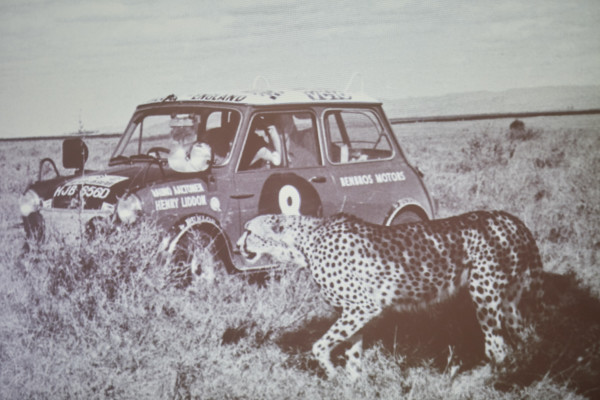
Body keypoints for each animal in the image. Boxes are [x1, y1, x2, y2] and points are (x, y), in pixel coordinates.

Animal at [236, 211, 544, 380]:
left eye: (249, 231)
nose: (238, 245)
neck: (304, 243)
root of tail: (511, 219)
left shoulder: (364, 306)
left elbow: (319, 346)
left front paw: (333, 375)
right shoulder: (353, 311)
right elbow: (353, 351)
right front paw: (354, 383)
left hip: (484, 294)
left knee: (497, 347)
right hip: (508, 300)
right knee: (528, 335)